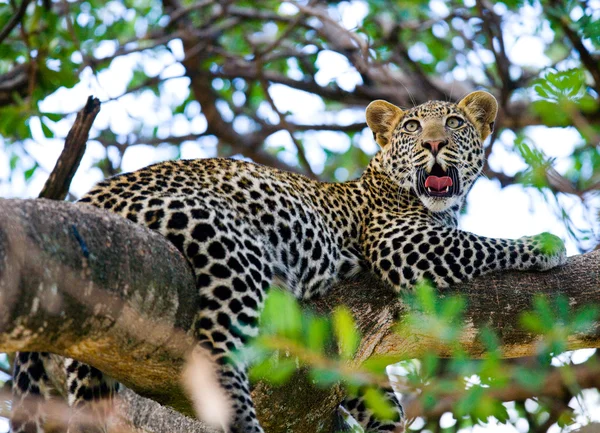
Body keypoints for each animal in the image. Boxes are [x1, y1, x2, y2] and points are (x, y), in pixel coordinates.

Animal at [10, 91, 568, 432]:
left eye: (454, 122)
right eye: (412, 126)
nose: (434, 142)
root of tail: (89, 197)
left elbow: (376, 395)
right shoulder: (404, 244)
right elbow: (483, 243)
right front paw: (544, 244)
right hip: (229, 248)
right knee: (218, 357)